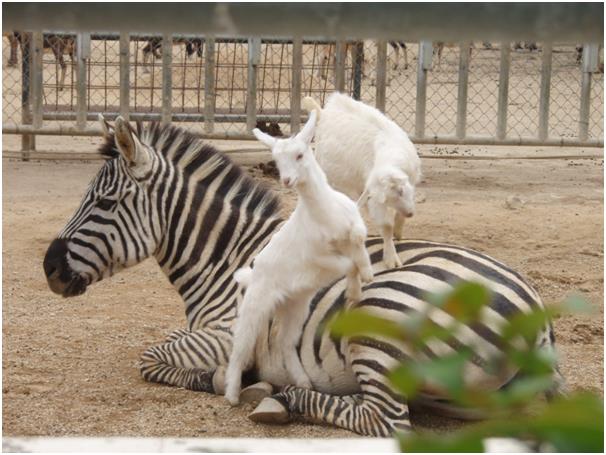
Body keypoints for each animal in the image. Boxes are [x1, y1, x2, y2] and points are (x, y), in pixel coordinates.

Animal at [44, 117, 568, 438]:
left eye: (105, 203)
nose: (49, 269)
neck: (226, 257)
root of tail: (537, 314)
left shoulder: (229, 334)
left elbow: (151, 358)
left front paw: (223, 379)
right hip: (472, 397)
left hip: (380, 314)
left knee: (386, 421)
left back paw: (282, 399)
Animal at [304, 94, 422, 268]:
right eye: (387, 198)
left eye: (400, 191)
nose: (410, 213)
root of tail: (323, 112)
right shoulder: (375, 198)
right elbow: (386, 226)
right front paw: (391, 259)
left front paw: (399, 230)